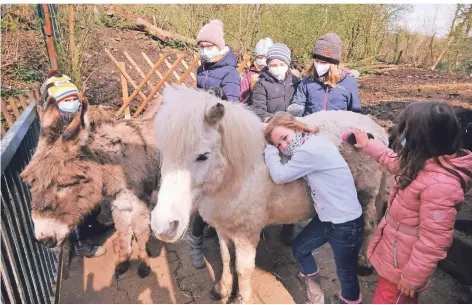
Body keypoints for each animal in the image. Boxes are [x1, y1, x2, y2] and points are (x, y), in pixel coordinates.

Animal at [149, 86, 390, 302]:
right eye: (164, 152)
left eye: (203, 156)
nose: (163, 225)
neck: (238, 175)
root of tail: (374, 129)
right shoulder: (223, 228)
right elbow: (226, 258)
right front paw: (223, 289)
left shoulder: (246, 235)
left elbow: (243, 269)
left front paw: (242, 298)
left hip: (366, 197)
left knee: (369, 226)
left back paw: (363, 263)